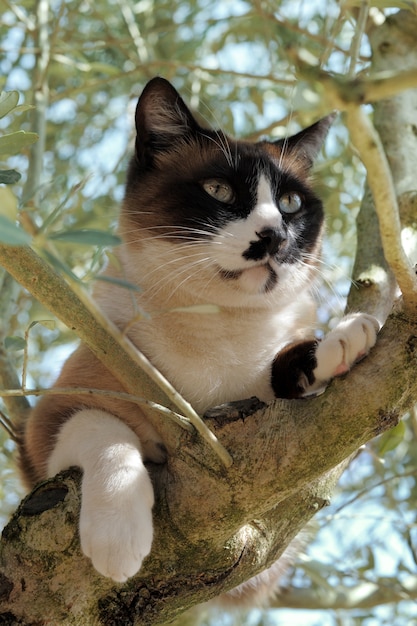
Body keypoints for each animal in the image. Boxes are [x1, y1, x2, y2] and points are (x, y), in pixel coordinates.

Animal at [17, 75, 378, 588]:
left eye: (289, 204)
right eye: (219, 190)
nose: (274, 236)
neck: (217, 327)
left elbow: (289, 364)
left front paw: (344, 339)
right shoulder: (46, 431)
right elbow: (104, 428)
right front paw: (119, 543)